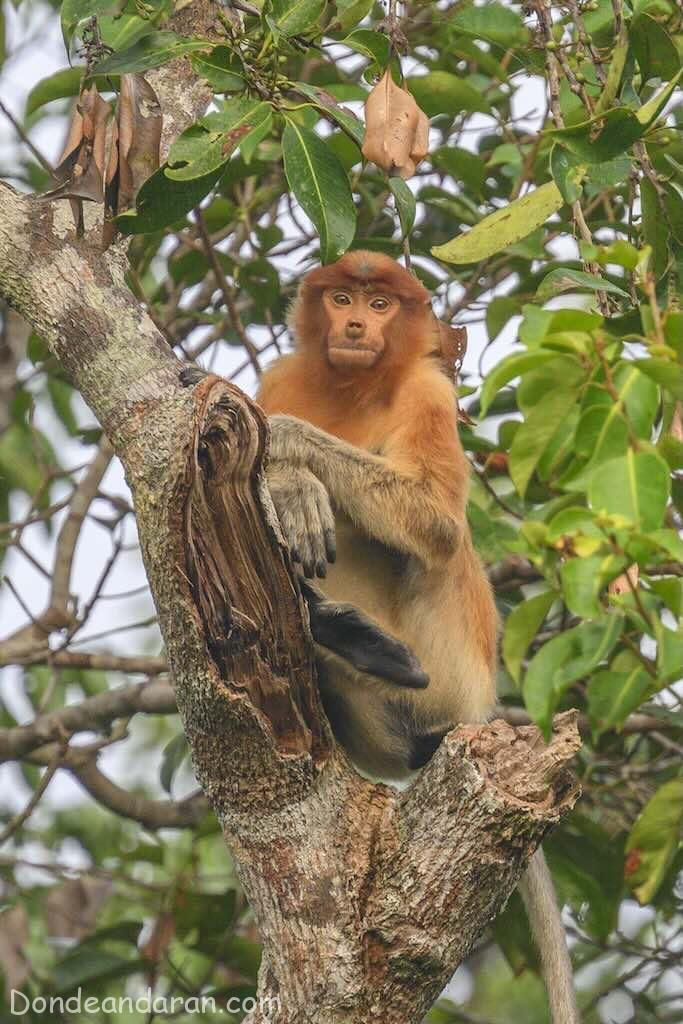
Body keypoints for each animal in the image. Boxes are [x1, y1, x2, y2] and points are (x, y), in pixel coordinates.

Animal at [256, 250, 580, 1024]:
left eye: (379, 305)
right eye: (341, 298)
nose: (353, 326)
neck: (350, 382)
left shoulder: (430, 389)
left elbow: (432, 518)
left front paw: (285, 448)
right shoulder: (282, 372)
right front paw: (285, 484)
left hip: (456, 669)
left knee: (442, 548)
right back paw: (339, 634)